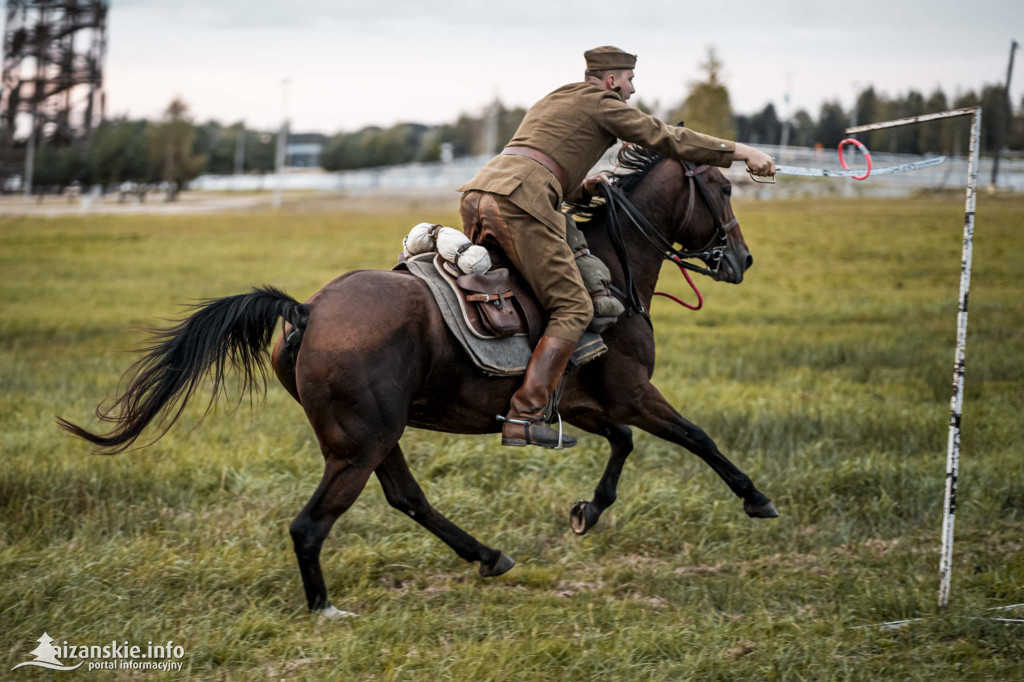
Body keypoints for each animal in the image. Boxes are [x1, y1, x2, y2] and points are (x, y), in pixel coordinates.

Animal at [58, 144, 774, 614]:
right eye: (724, 188)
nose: (742, 259)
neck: (611, 266)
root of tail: (308, 309)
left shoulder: (584, 401)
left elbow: (623, 444)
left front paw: (587, 510)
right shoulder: (633, 393)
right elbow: (698, 437)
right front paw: (756, 498)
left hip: (377, 437)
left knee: (406, 498)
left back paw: (486, 555)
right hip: (362, 442)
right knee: (311, 525)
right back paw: (325, 608)